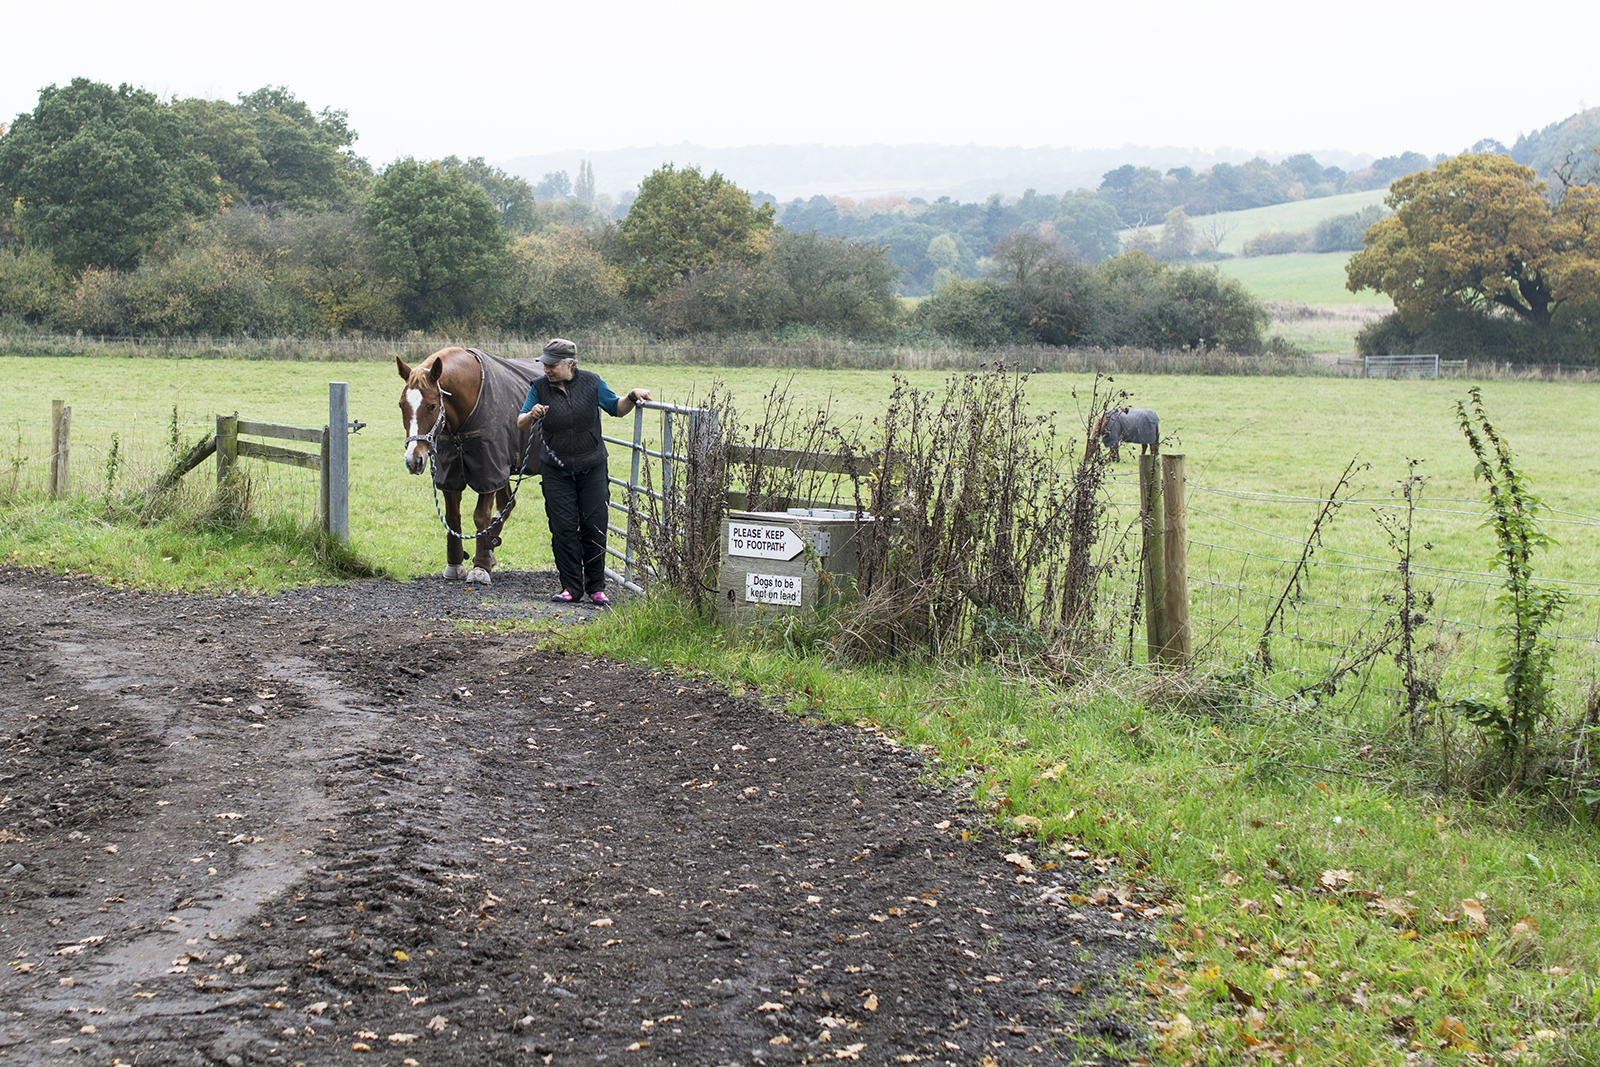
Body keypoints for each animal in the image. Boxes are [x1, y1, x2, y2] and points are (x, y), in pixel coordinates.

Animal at [398, 348, 544, 585]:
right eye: (402, 405)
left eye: (431, 405)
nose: (413, 459)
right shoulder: (451, 474)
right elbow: (452, 517)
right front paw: (456, 563)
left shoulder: (489, 471)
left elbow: (480, 516)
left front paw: (480, 567)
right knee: (506, 504)